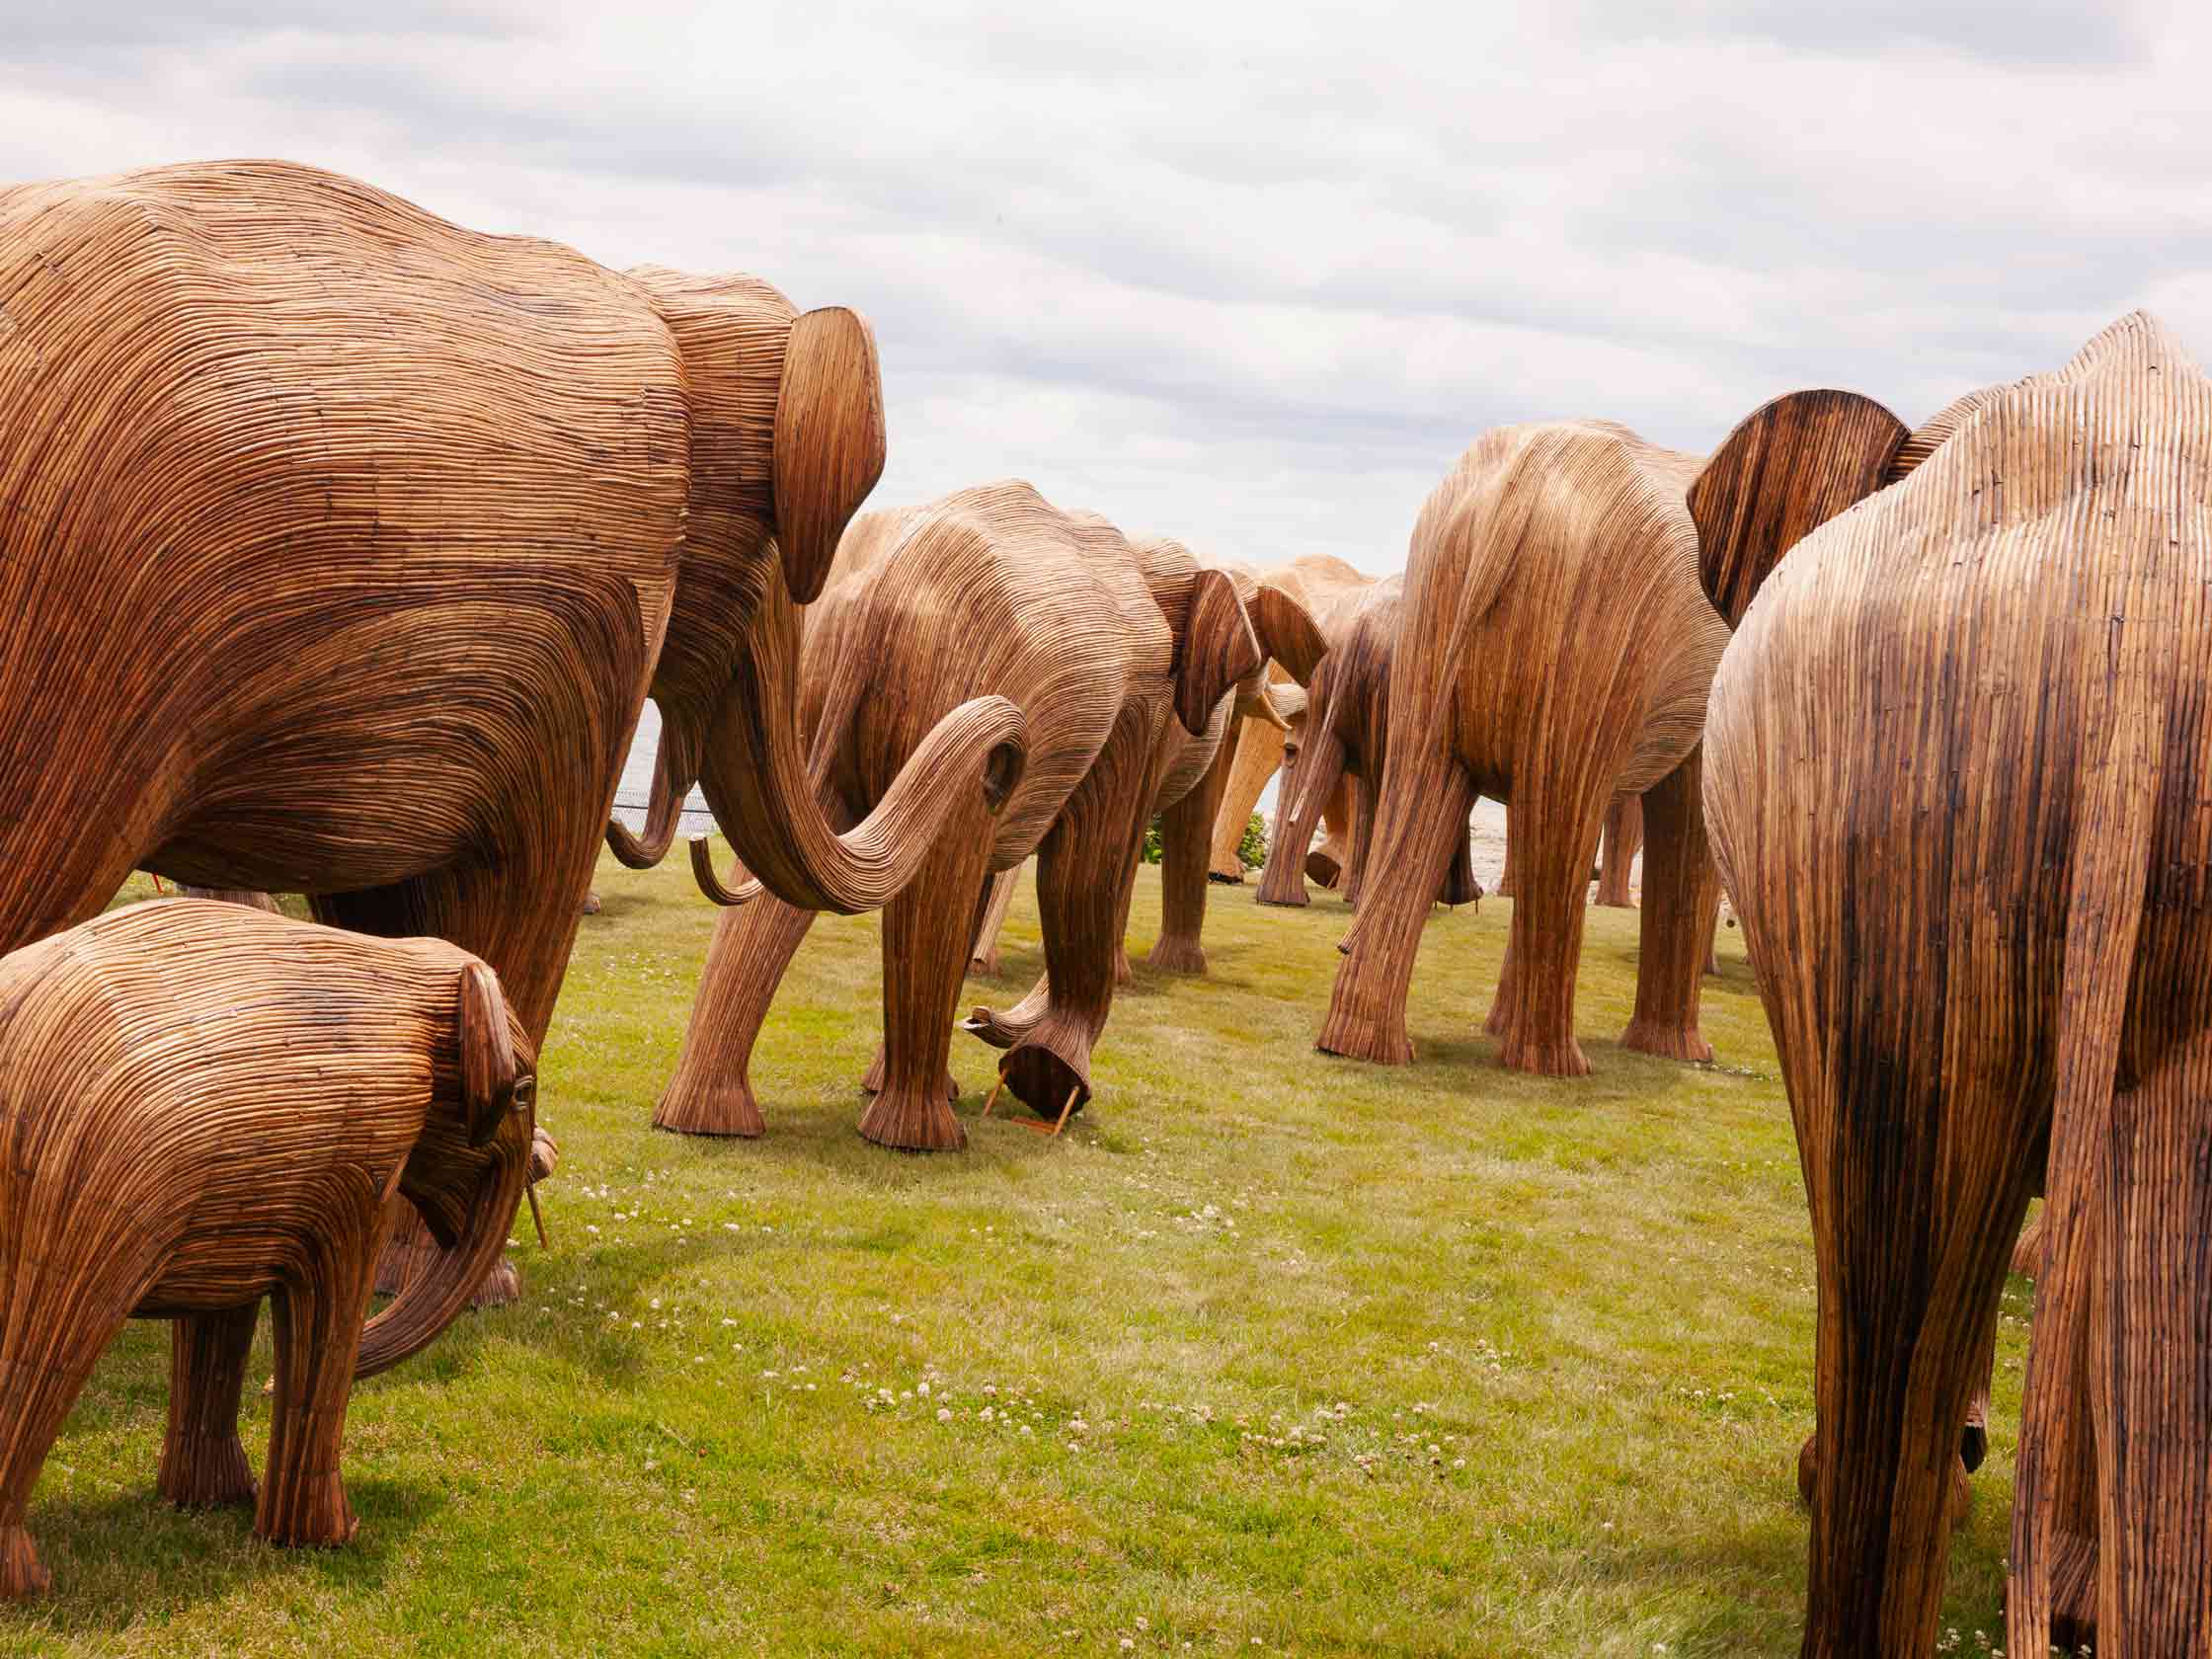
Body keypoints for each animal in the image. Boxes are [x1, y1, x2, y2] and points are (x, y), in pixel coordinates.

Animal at [0, 161, 1019, 1328]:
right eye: (776, 563)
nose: (1007, 753)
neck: (663, 297)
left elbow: (396, 913)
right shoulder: (591, 633)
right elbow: (516, 898)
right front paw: (477, 1286)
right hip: (83, 634)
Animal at [0, 899, 538, 1598]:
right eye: (521, 1092)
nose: (265, 1387)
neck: (408, 967)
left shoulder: (240, 1188)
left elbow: (220, 1316)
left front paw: (211, 1503)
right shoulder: (361, 1158)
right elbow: (332, 1299)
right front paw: (329, 1541)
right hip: (85, 1186)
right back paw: (28, 1585)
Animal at [657, 481, 1262, 1149]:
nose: (980, 1016)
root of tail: (872, 596)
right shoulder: (1138, 706)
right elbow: (1083, 876)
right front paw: (1048, 1079)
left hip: (814, 699)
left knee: (781, 874)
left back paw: (707, 1122)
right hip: (949, 686)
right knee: (947, 869)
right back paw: (923, 1140)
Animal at [1316, 394, 1902, 1077]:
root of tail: (1515, 488)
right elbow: (1686, 819)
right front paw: (1685, 1055)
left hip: (1436, 621)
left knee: (1427, 791)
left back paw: (1359, 1047)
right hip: (1588, 633)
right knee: (1560, 814)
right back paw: (1556, 1067)